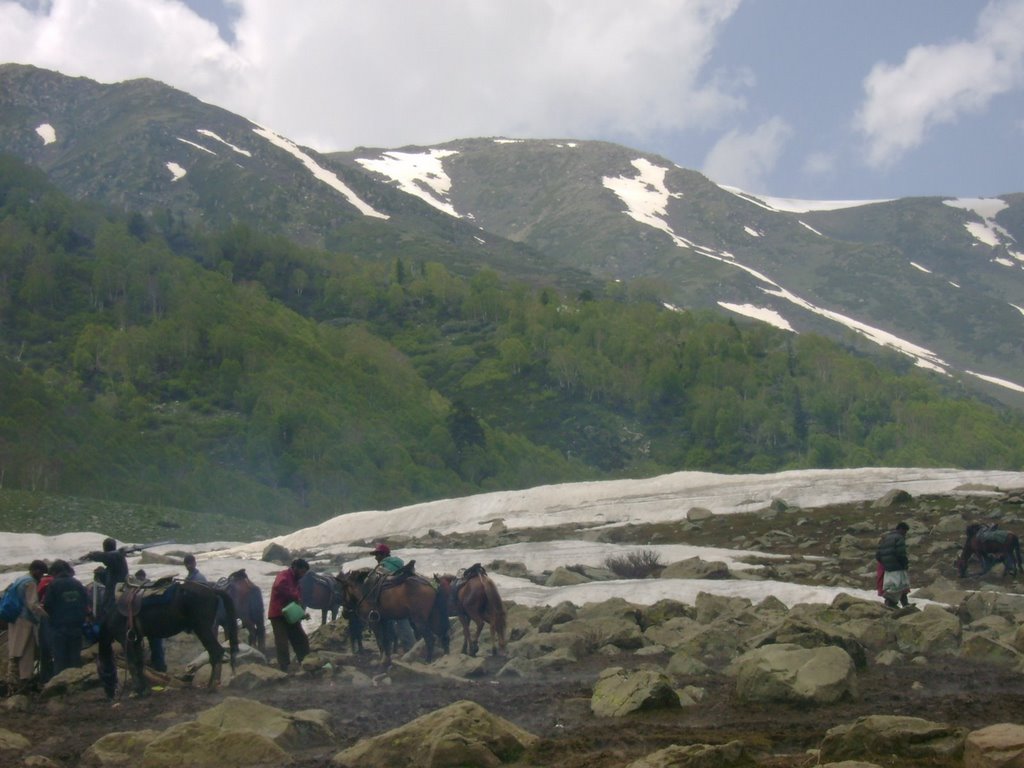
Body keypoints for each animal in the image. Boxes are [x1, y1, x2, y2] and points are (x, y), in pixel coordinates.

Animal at [96, 581, 238, 700]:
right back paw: (212, 684)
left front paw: (136, 691)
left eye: (102, 673)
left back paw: (212, 686)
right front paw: (144, 690)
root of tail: (212, 590)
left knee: (216, 652)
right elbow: (139, 664)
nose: (110, 696)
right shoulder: (136, 640)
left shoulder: (125, 639)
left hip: (202, 628)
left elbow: (132, 664)